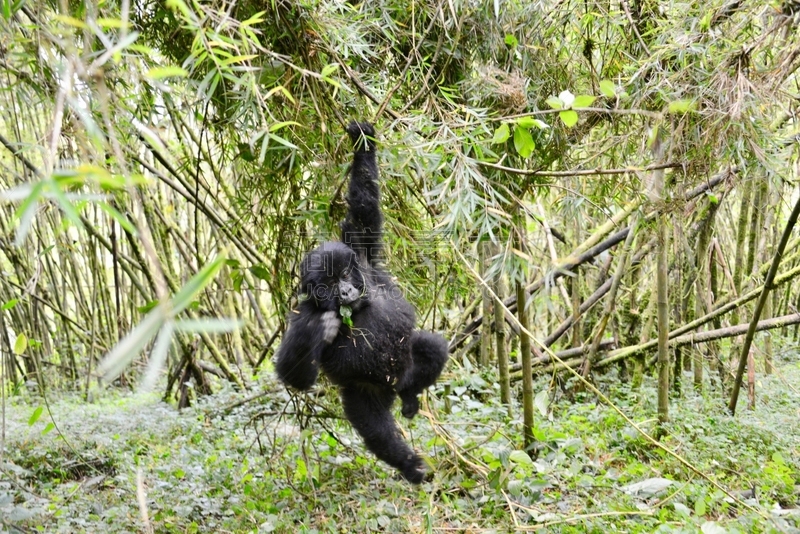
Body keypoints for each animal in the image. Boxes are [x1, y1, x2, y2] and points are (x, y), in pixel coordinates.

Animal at [276, 121, 450, 486]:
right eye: (327, 285)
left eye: (345, 274)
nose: (344, 293)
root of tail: (393, 388)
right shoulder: (301, 313)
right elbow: (292, 374)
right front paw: (322, 328)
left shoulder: (361, 251)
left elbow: (364, 207)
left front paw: (362, 141)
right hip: (364, 393)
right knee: (376, 429)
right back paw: (408, 463)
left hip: (404, 364)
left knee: (431, 348)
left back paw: (411, 396)